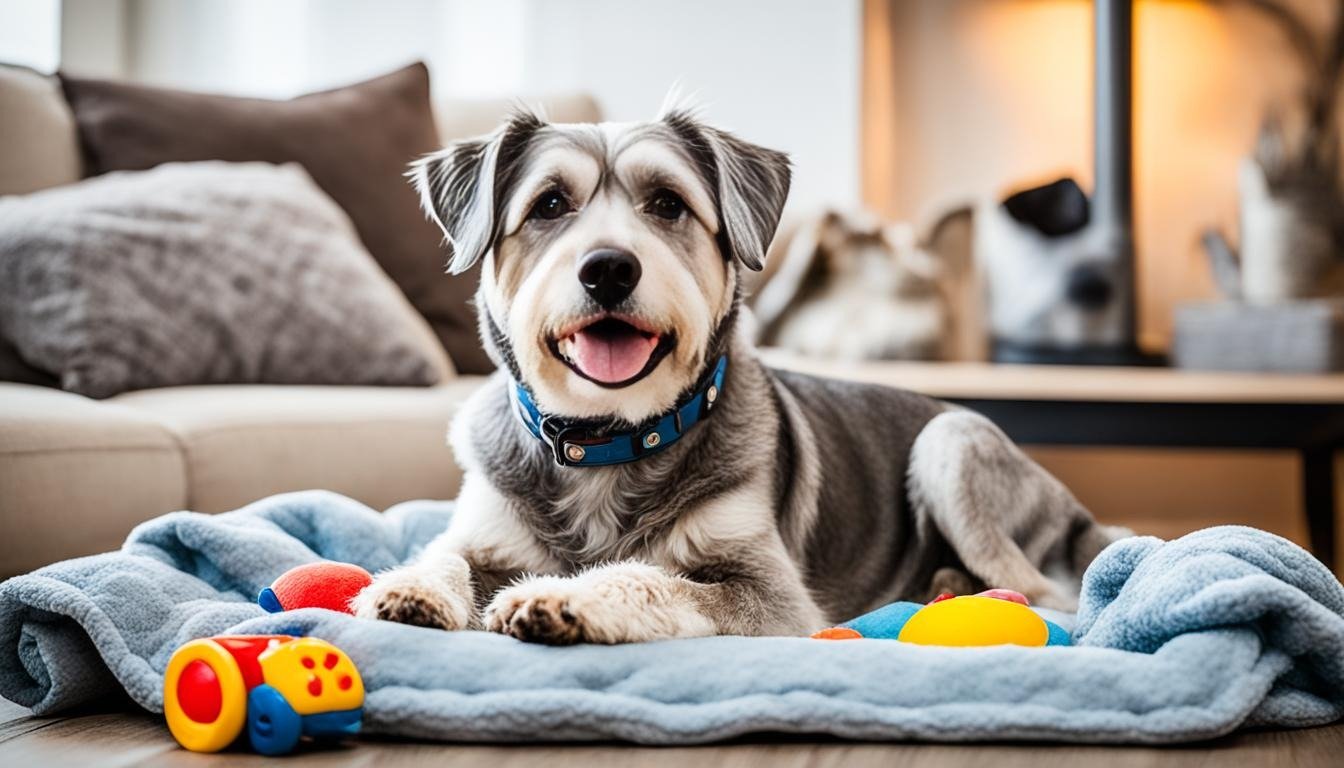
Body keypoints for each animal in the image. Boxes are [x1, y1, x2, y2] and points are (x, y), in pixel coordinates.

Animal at [349, 102, 1123, 642]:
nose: (608, 268)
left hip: (950, 444)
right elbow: (444, 555)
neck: (608, 442)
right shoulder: (483, 531)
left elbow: (655, 577)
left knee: (1050, 595)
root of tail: (1073, 510)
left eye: (667, 202)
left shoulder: (770, 594)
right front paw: (411, 588)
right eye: (549, 204)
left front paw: (565, 596)